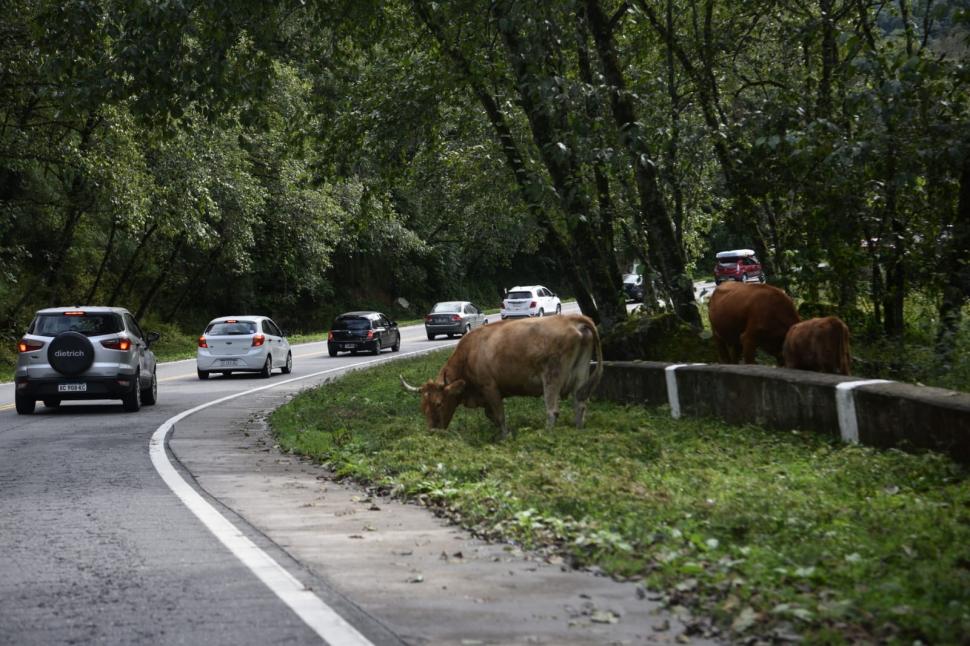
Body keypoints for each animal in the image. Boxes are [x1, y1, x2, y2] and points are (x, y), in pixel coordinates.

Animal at [398, 316, 596, 440]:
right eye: (422, 407)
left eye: (439, 403)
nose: (433, 433)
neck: (469, 353)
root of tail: (570, 320)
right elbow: (491, 415)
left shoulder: (490, 387)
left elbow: (499, 416)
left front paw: (504, 436)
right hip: (581, 373)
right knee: (580, 404)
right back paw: (578, 429)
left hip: (551, 377)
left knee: (552, 410)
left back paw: (547, 434)